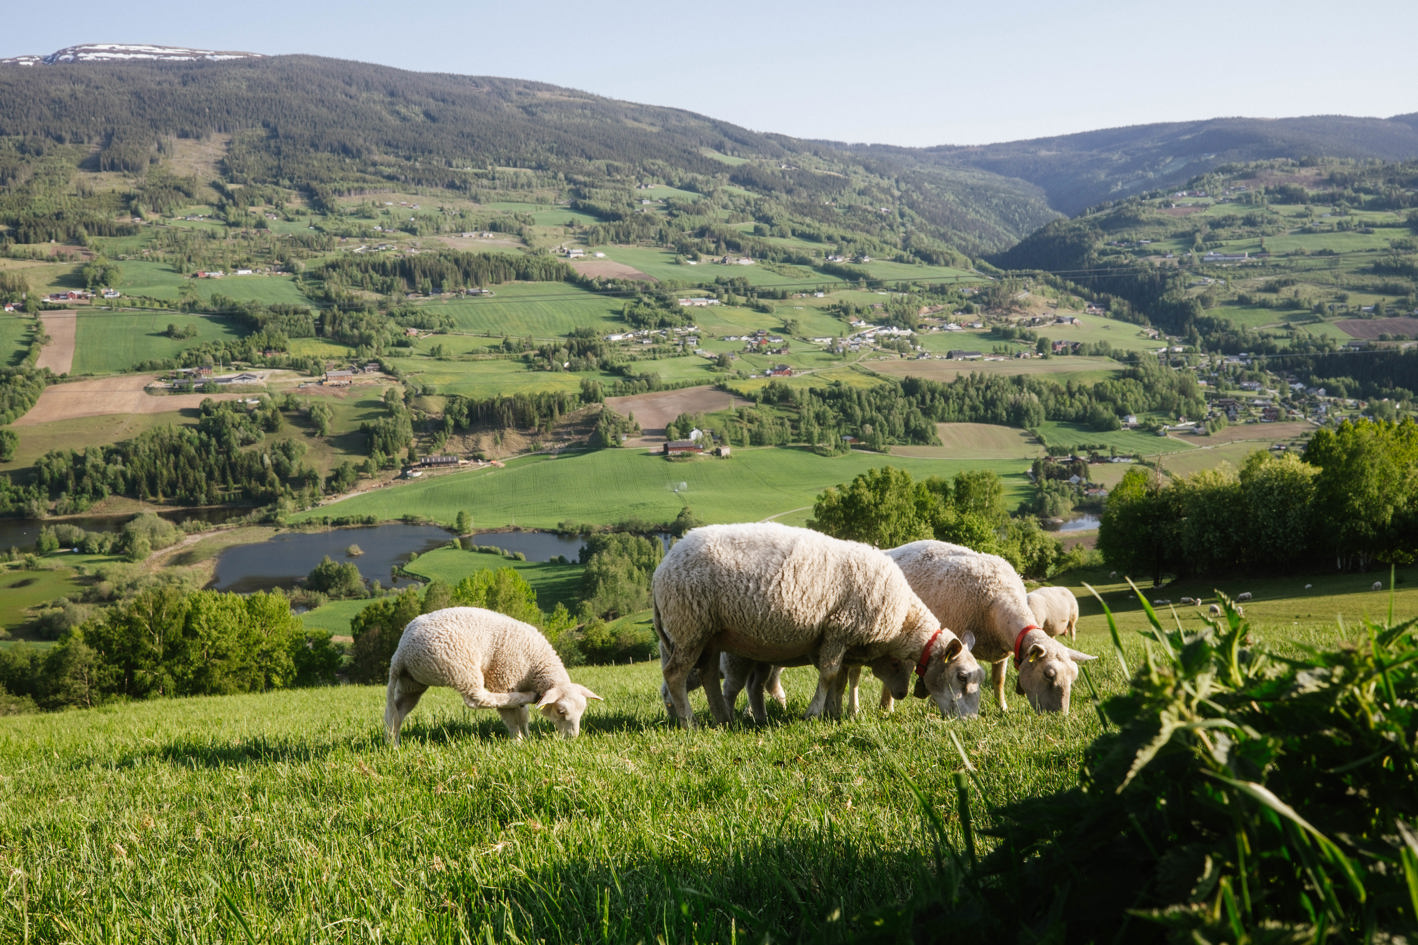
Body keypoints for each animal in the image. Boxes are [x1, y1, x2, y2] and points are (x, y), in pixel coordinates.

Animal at [385, 604, 601, 743]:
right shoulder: (504, 678)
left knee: (397, 711)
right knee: (477, 699)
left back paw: (393, 744)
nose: (572, 739)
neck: (537, 665)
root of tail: (401, 652)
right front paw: (518, 741)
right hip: (459, 667)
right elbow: (511, 717)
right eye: (561, 711)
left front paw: (527, 737)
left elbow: (523, 716)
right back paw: (528, 697)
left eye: (582, 711)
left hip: (413, 680)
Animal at [655, 519, 981, 723]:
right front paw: (814, 713)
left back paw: (722, 719)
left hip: (709, 634)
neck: (902, 619)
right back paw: (690, 721)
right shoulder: (839, 629)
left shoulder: (843, 640)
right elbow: (828, 675)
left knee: (709, 675)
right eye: (962, 677)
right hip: (689, 626)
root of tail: (663, 565)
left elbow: (839, 680)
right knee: (675, 675)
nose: (972, 720)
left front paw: (833, 713)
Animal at [884, 536, 1094, 715]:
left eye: (1073, 677)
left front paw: (1002, 708)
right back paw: (887, 708)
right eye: (1048, 674)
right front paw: (934, 708)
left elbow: (998, 681)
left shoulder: (1004, 650)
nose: (1060, 716)